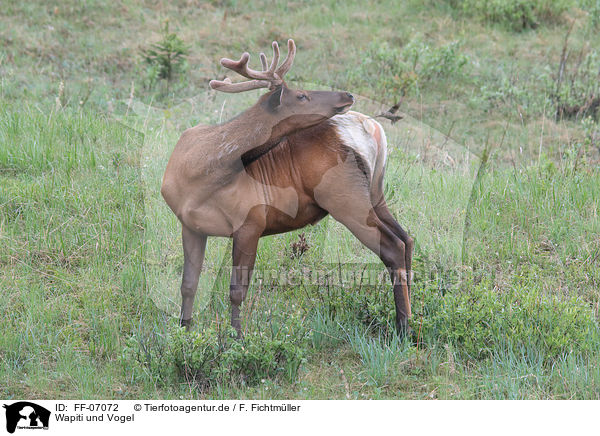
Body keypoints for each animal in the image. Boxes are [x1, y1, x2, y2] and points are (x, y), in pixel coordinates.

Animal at [159, 39, 412, 338]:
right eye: (301, 95)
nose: (348, 94)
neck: (197, 174)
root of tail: (372, 129)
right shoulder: (191, 225)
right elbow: (188, 284)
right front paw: (184, 330)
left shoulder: (251, 222)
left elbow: (236, 291)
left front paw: (236, 338)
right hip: (374, 193)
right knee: (407, 239)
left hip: (345, 199)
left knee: (393, 246)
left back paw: (404, 327)